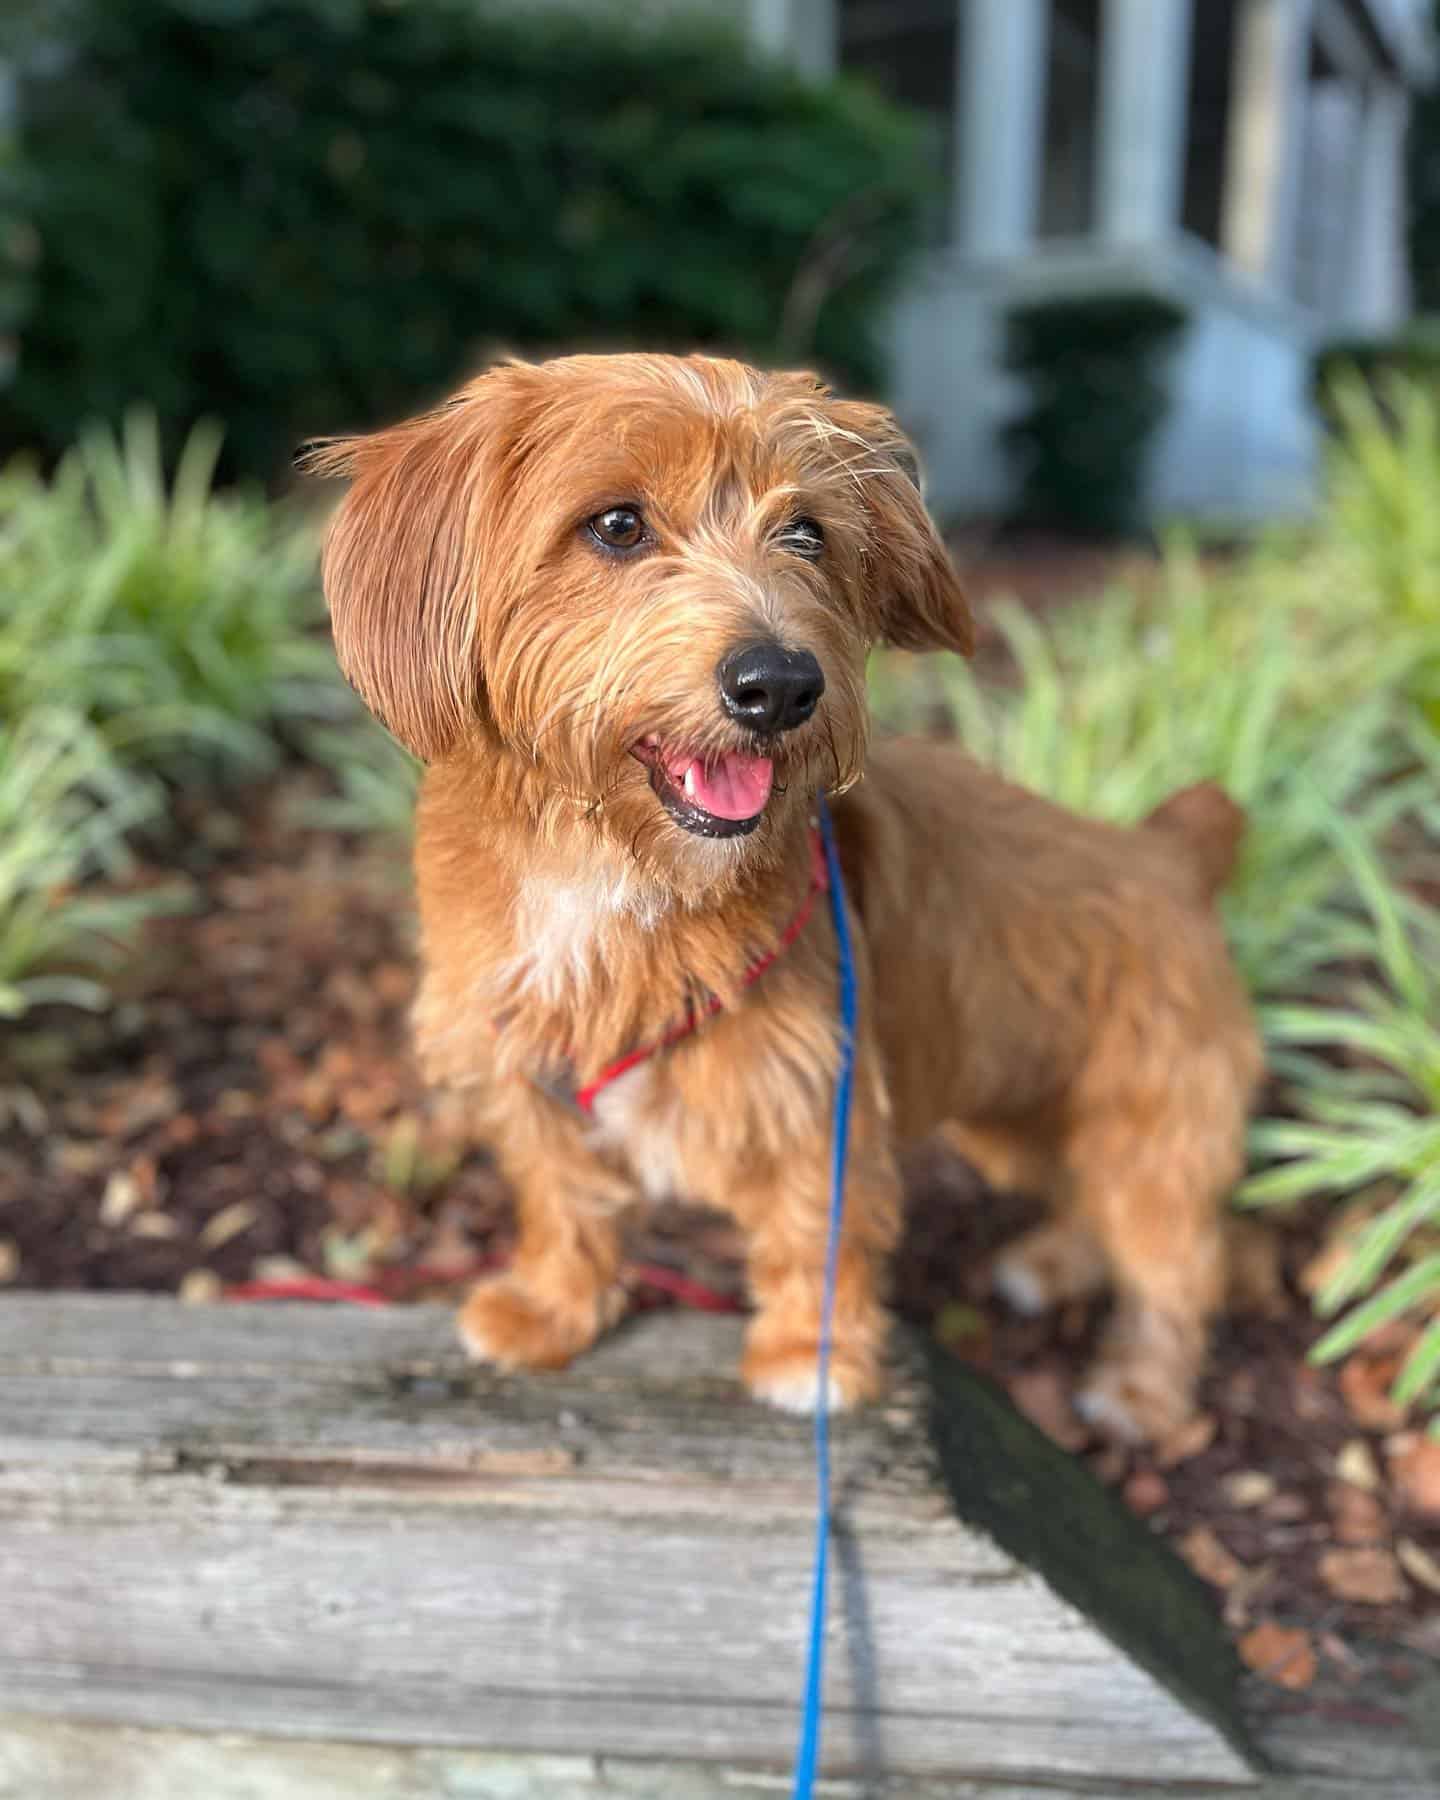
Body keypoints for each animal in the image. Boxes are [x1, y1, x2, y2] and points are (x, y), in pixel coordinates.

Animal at [311, 351, 1260, 1440]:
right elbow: (566, 1200)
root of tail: (1166, 854)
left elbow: (817, 1231)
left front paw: (810, 1359)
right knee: (1082, 1202)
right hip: (1016, 1118)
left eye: (806, 531)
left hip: (1151, 1137)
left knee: (1182, 1266)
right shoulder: (528, 1073)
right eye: (617, 524)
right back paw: (1054, 1261)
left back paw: (1142, 1389)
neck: (615, 871)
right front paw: (555, 1307)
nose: (781, 685)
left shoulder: (821, 1097)